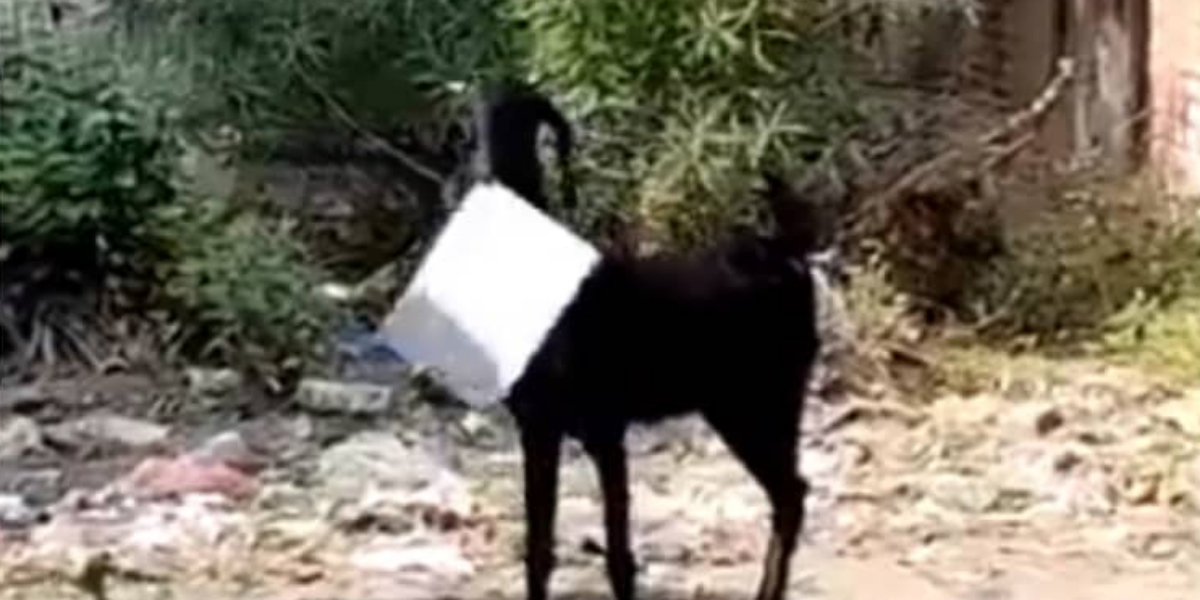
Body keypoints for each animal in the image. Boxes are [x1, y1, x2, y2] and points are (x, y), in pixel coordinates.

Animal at [503, 173, 822, 600]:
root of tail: (787, 254)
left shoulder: (604, 431)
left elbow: (617, 553)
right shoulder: (537, 428)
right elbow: (538, 550)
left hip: (752, 408)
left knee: (790, 495)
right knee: (790, 494)